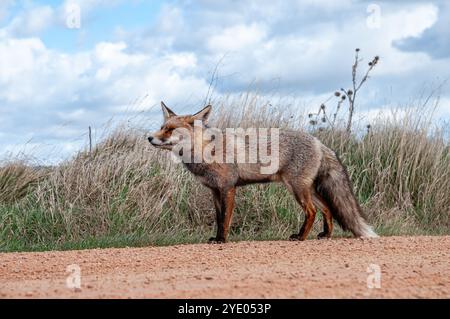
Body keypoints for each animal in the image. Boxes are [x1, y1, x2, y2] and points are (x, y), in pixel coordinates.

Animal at [149, 102, 378, 245]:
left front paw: (222, 240)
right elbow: (218, 218)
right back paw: (325, 235)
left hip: (297, 189)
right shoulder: (215, 190)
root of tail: (319, 142)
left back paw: (300, 237)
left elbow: (225, 219)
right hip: (307, 189)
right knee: (328, 209)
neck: (206, 151)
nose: (149, 138)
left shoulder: (228, 188)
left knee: (312, 211)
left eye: (170, 130)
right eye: (161, 127)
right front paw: (216, 238)